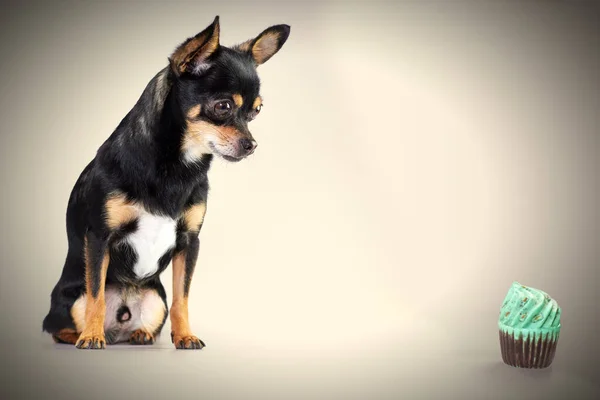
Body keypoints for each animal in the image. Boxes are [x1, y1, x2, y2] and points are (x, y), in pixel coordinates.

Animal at [41, 15, 290, 348]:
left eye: (256, 111)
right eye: (223, 106)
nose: (252, 145)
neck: (177, 166)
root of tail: (118, 328)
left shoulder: (189, 242)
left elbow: (181, 297)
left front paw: (185, 335)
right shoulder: (98, 238)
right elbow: (96, 295)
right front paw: (91, 336)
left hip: (154, 299)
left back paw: (141, 334)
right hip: (71, 299)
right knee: (62, 323)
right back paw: (84, 334)